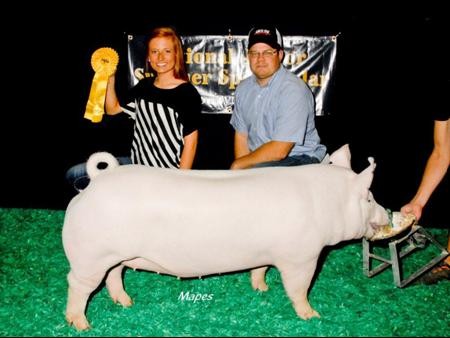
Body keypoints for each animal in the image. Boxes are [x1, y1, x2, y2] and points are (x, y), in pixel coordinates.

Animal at [61, 145, 388, 330]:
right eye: (370, 198)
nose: (387, 215)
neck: (325, 202)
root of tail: (97, 181)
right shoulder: (302, 256)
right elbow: (299, 288)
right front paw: (312, 316)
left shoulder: (266, 252)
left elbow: (260, 269)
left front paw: (262, 289)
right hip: (90, 256)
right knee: (77, 284)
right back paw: (82, 326)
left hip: (114, 255)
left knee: (114, 275)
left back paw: (127, 303)